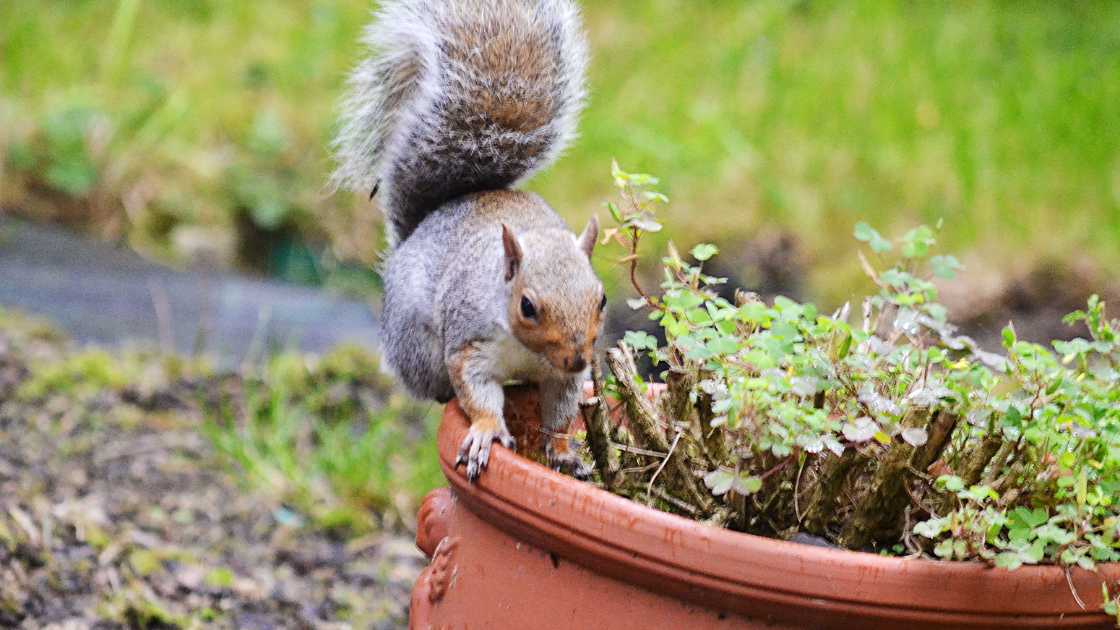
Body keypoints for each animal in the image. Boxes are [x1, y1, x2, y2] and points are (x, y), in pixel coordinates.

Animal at [332, 0, 603, 481]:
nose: (577, 359)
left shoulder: (561, 377)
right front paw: (486, 433)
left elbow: (559, 413)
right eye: (527, 306)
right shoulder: (469, 345)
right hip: (416, 346)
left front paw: (564, 452)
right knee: (437, 387)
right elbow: (478, 394)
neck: (526, 350)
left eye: (602, 299)